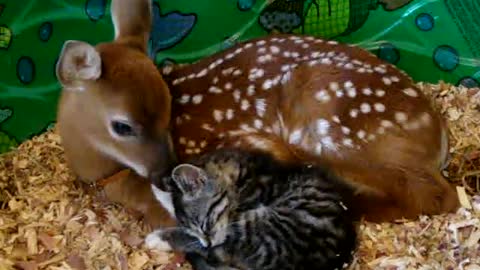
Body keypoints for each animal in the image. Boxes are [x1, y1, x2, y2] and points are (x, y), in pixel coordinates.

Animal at [55, 0, 458, 226]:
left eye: (170, 113)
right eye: (122, 126)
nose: (165, 174)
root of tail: (437, 132)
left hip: (336, 128)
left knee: (436, 196)